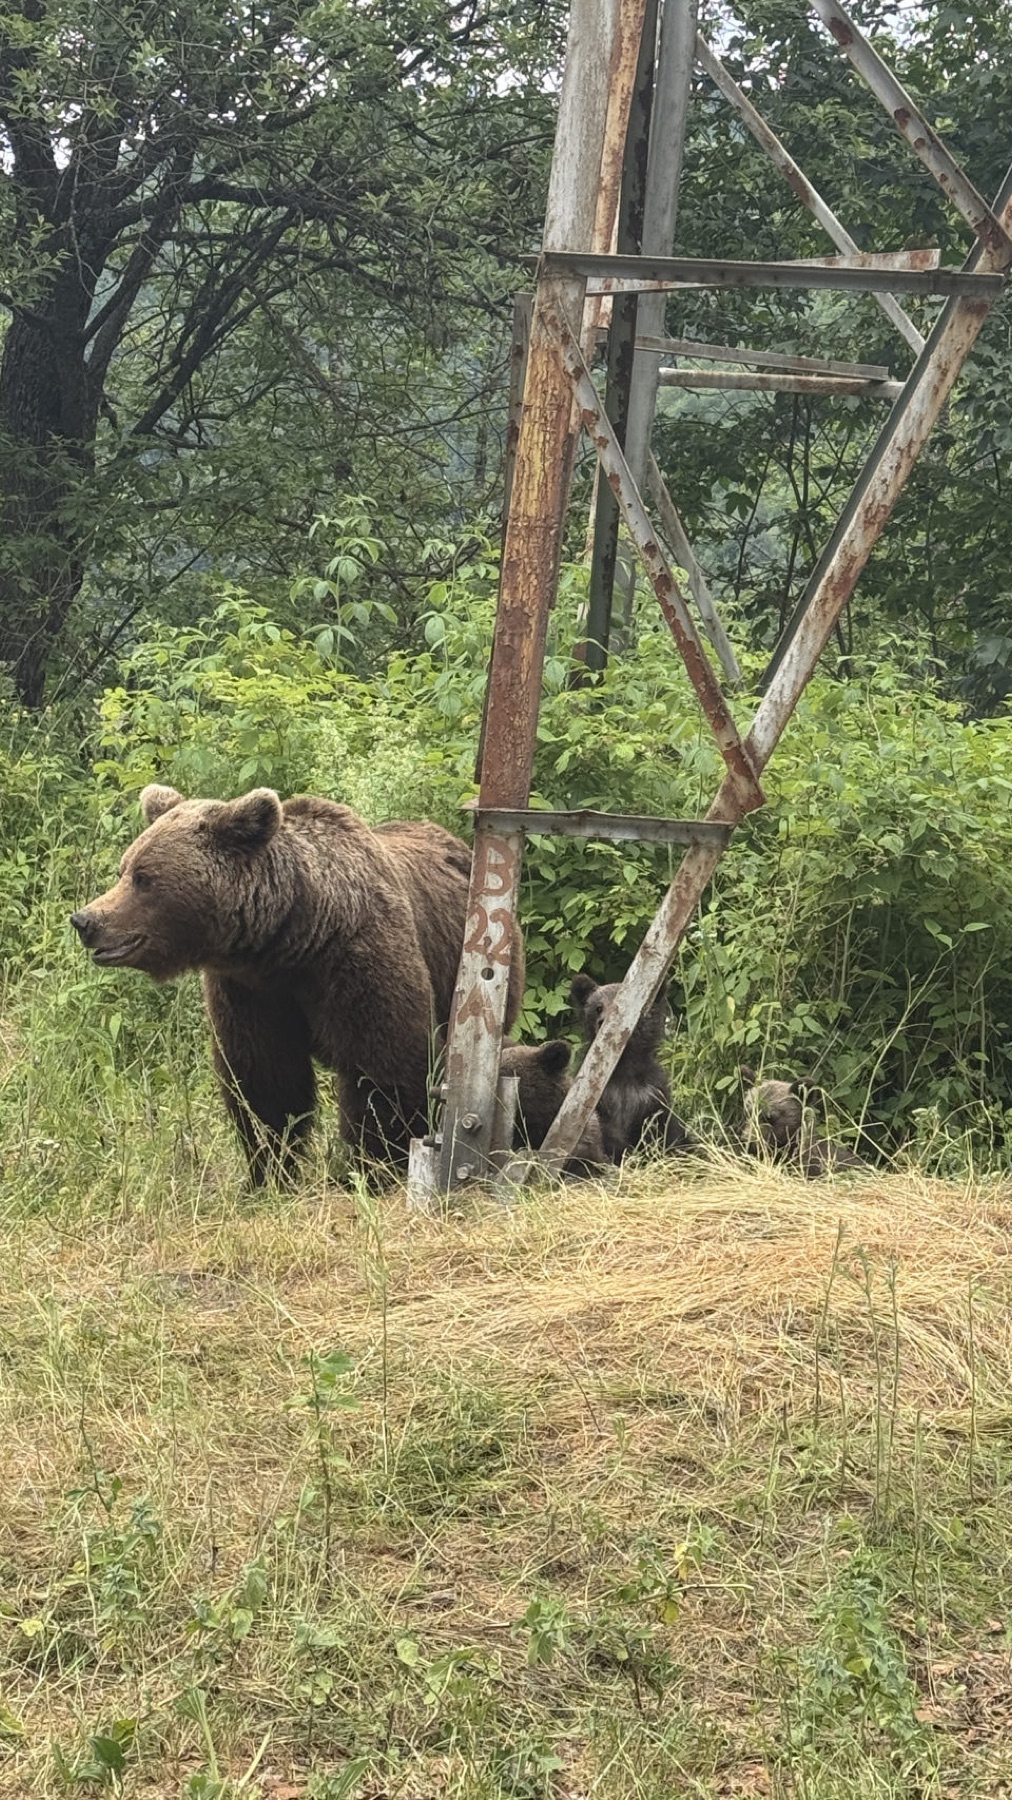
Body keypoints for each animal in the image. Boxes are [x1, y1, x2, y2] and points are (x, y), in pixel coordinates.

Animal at [70, 786, 525, 1184]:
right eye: (124, 869)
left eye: (144, 878)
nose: (86, 920)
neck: (291, 940)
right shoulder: (251, 993)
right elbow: (266, 1083)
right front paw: (268, 1172)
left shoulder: (356, 962)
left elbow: (385, 1068)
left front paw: (378, 1166)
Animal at [569, 973, 693, 1163]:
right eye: (598, 1007)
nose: (603, 1022)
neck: (624, 1066)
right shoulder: (599, 1095)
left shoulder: (650, 1095)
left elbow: (659, 1130)